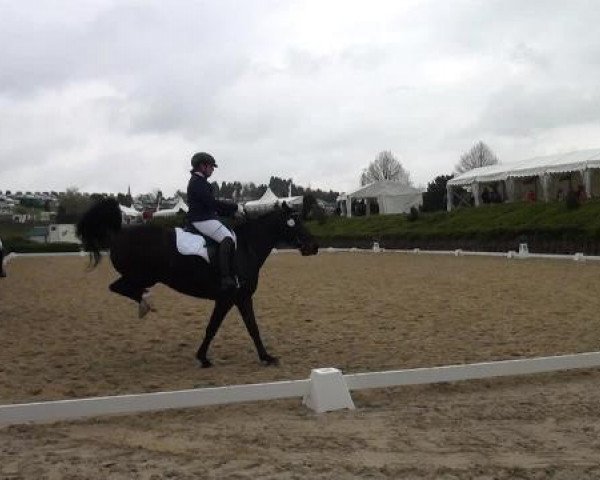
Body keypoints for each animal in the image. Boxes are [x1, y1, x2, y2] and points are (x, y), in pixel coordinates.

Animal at [77, 199, 318, 368]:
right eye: (295, 222)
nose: (313, 247)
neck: (246, 247)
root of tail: (119, 233)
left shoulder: (241, 298)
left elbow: (252, 327)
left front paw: (266, 357)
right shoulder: (228, 298)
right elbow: (213, 328)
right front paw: (203, 358)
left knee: (120, 287)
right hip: (143, 276)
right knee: (119, 287)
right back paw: (145, 302)